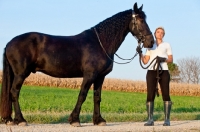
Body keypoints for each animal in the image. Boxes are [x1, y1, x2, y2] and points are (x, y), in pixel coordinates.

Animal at [0, 2, 153, 126]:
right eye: (140, 20)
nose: (150, 42)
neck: (100, 43)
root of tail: (9, 43)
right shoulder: (89, 75)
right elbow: (82, 95)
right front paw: (74, 120)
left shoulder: (100, 77)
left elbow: (97, 97)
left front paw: (99, 120)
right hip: (21, 74)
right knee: (14, 92)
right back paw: (21, 120)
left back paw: (12, 120)